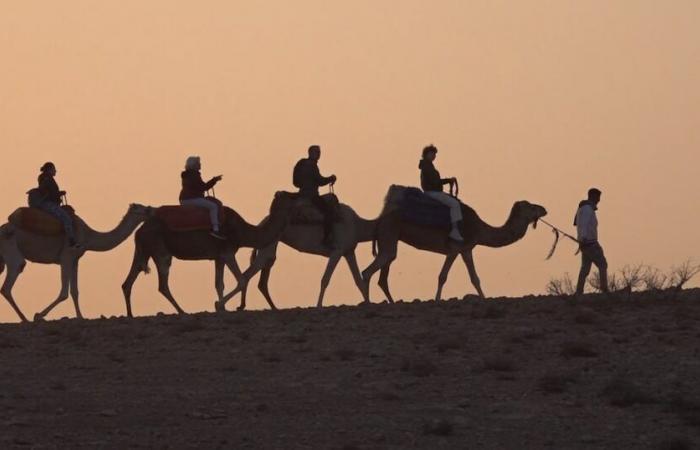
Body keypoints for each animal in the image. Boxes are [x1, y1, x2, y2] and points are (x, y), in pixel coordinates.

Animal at [0, 202, 154, 322]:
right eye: (144, 209)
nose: (152, 209)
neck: (88, 236)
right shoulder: (66, 257)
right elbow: (64, 292)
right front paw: (38, 315)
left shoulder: (75, 260)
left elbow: (75, 291)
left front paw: (80, 316)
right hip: (10, 247)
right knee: (9, 281)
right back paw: (25, 319)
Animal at [120, 191, 296, 316]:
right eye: (291, 196)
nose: (299, 195)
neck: (243, 231)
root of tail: (140, 230)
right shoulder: (227, 252)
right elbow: (242, 280)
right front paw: (219, 305)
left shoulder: (218, 257)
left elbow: (219, 284)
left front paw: (222, 307)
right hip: (161, 252)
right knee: (162, 285)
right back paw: (182, 311)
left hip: (142, 250)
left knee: (128, 281)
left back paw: (130, 314)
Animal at [360, 185, 548, 304]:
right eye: (531, 207)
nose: (544, 209)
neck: (479, 228)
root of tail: (381, 217)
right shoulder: (454, 249)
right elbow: (442, 276)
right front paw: (437, 300)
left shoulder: (467, 250)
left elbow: (475, 278)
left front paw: (484, 298)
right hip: (389, 235)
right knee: (368, 271)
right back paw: (368, 303)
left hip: (390, 239)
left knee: (383, 275)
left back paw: (390, 302)